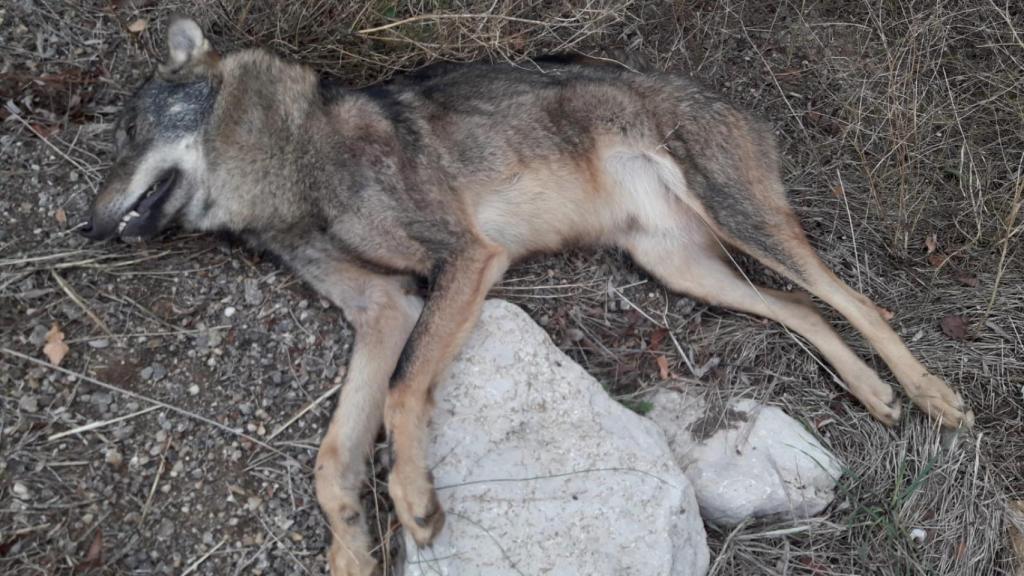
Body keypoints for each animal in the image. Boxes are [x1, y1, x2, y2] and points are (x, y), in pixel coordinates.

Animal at [80, 17, 973, 576]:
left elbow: (402, 394)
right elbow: (332, 458)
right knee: (805, 310)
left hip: (744, 227)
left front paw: (414, 501)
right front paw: (351, 549)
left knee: (852, 301)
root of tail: (728, 98)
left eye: (127, 134)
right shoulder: (382, 312)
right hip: (687, 270)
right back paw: (870, 394)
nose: (88, 228)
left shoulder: (466, 260)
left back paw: (929, 394)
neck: (296, 164)